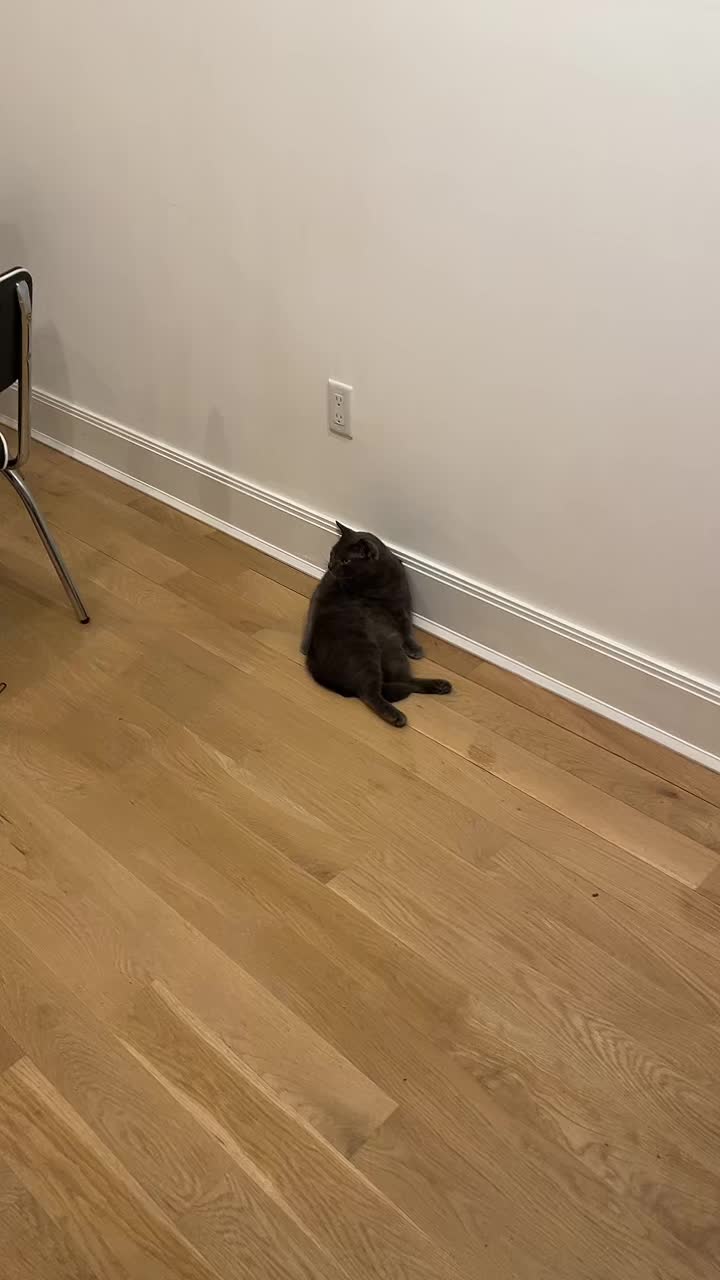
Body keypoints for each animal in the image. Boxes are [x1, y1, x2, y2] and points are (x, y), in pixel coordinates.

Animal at [302, 521, 452, 727]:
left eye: (345, 561)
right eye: (333, 554)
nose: (330, 565)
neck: (378, 583)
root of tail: (316, 669)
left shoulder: (403, 603)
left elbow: (407, 628)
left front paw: (414, 649)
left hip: (392, 652)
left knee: (401, 681)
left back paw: (441, 685)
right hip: (366, 652)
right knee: (370, 692)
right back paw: (396, 716)